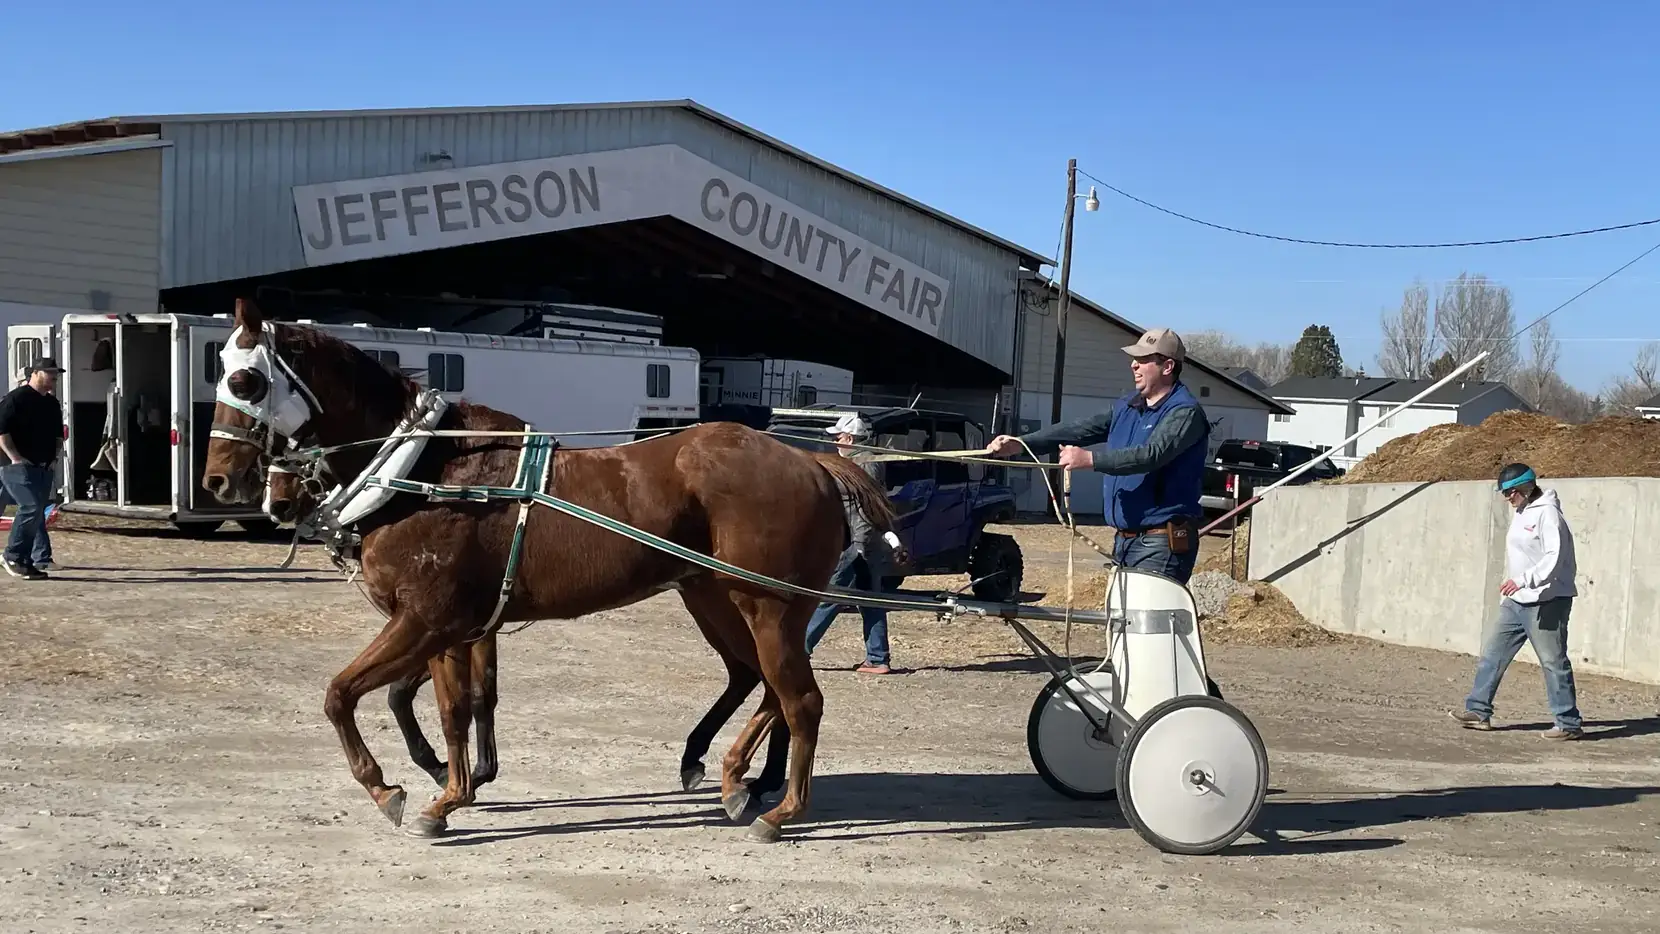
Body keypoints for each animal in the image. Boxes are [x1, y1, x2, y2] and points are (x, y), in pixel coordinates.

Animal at [201, 298, 891, 841]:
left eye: (246, 381)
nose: (221, 482)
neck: (429, 469)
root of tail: (813, 463)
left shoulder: (424, 621)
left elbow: (342, 695)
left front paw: (388, 789)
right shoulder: (449, 630)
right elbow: (451, 709)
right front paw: (448, 794)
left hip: (770, 607)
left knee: (799, 699)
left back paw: (780, 809)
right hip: (716, 600)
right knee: (760, 683)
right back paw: (728, 776)